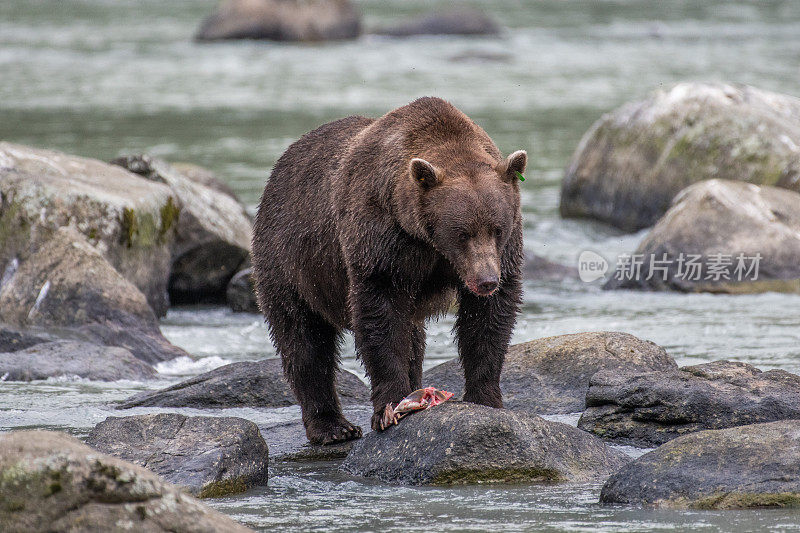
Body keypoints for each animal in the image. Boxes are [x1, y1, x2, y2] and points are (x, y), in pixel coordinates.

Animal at [252, 96, 524, 444]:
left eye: (497, 229)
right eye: (462, 233)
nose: (486, 280)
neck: (426, 239)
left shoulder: (501, 252)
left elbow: (488, 320)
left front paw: (485, 398)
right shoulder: (382, 238)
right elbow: (381, 315)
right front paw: (389, 408)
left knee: (414, 338)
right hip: (289, 260)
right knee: (303, 340)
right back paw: (333, 426)